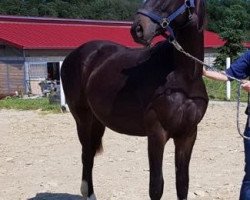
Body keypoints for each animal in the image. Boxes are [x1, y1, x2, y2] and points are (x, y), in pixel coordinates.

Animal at [61, 0, 209, 199]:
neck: (184, 78)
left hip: (97, 120)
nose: (137, 28)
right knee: (86, 155)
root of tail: (74, 55)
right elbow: (156, 186)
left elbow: (182, 183)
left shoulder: (188, 134)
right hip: (82, 118)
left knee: (90, 153)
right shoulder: (157, 134)